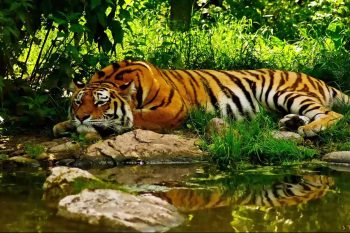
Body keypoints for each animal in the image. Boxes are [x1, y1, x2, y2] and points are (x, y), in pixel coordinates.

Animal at [52, 59, 350, 138]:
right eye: (78, 101)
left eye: (101, 101)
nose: (81, 116)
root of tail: (319, 79)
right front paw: (64, 125)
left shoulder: (173, 109)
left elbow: (137, 117)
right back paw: (291, 123)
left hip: (281, 91)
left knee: (333, 114)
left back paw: (310, 128)